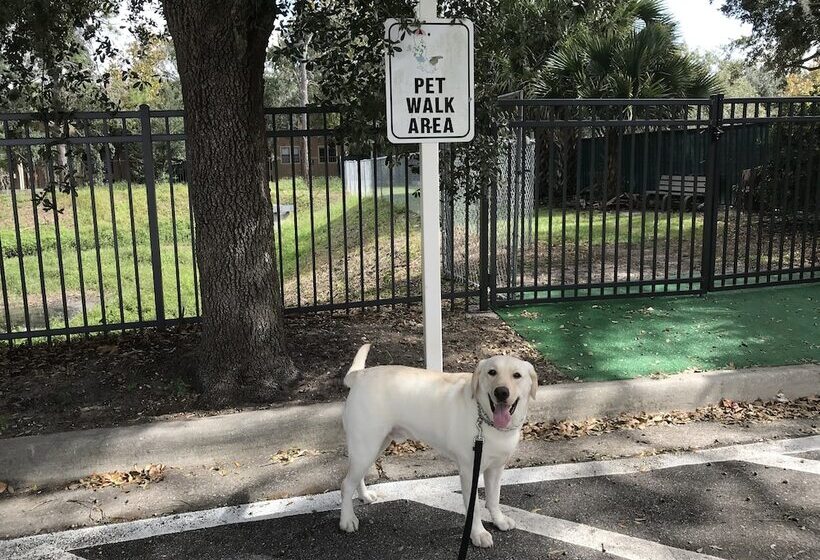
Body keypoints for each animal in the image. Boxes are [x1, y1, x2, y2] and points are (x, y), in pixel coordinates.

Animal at [336, 344, 536, 548]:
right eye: (492, 372)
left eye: (517, 375)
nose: (501, 392)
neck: (485, 419)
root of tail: (360, 375)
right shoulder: (469, 471)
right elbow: (475, 508)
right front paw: (478, 534)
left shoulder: (496, 468)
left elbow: (494, 499)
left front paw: (499, 521)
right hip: (366, 445)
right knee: (346, 484)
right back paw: (347, 520)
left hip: (374, 445)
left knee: (357, 477)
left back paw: (364, 496)